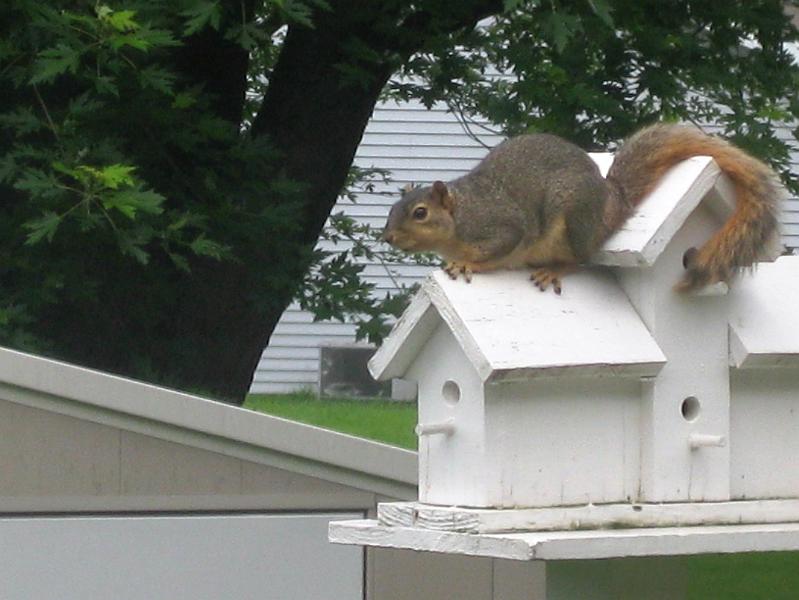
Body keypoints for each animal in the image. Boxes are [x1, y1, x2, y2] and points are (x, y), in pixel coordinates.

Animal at [381, 123, 780, 294]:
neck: (461, 214)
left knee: (582, 259)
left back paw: (554, 270)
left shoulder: (499, 226)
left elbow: (499, 247)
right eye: (392, 210)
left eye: (420, 213)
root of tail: (609, 204)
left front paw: (468, 264)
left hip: (572, 221)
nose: (387, 237)